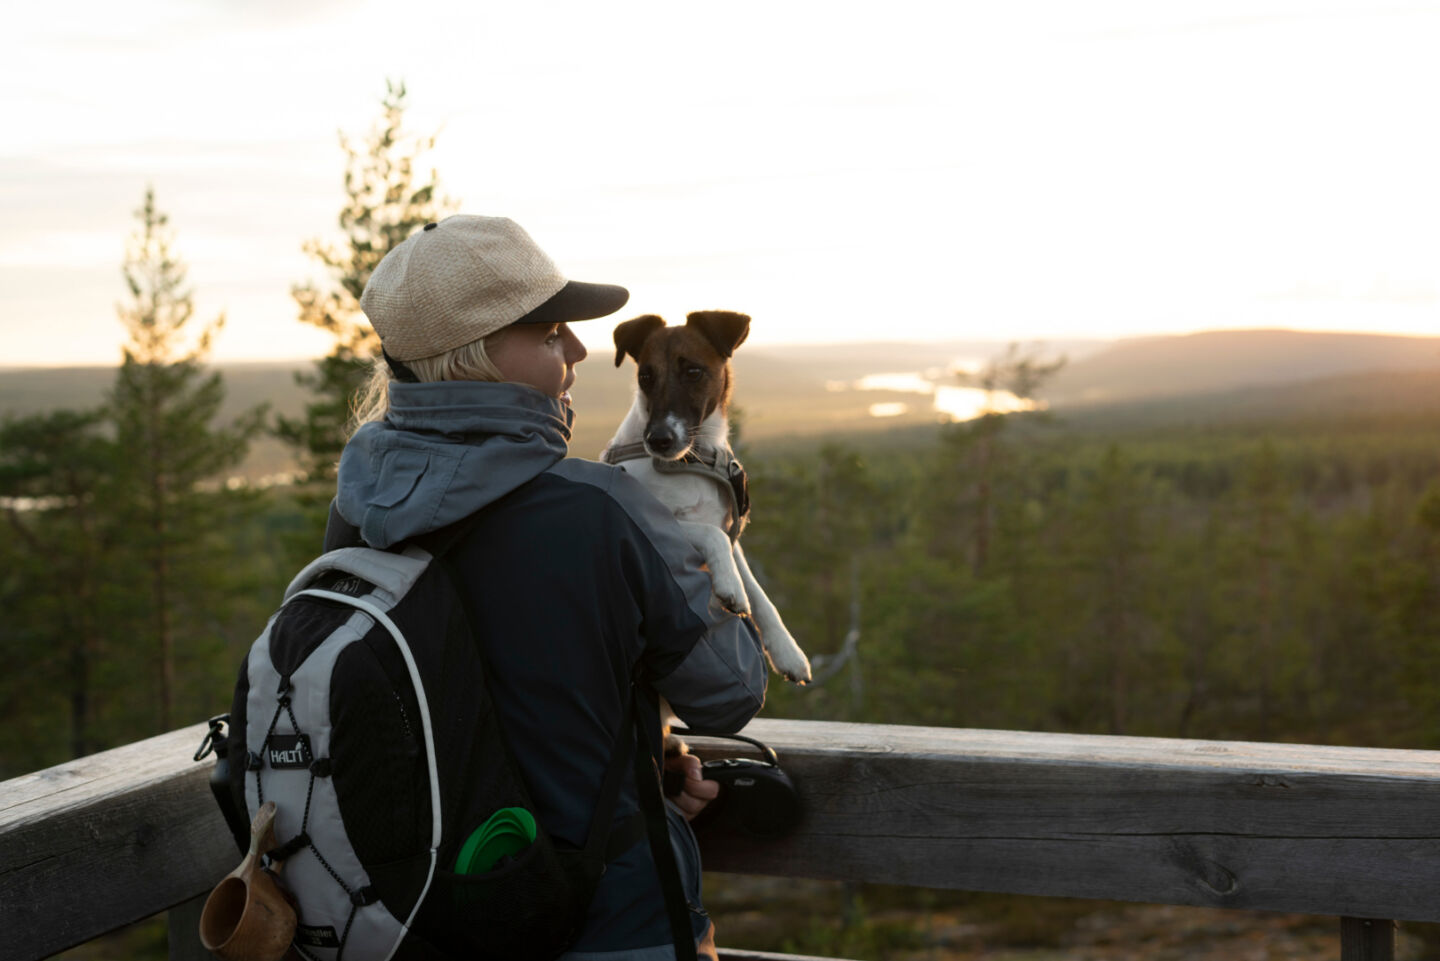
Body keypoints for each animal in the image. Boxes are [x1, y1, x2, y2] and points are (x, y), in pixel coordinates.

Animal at [601, 312, 817, 688]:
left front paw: (788, 652)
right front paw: (730, 586)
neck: (691, 460)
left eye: (693, 372)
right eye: (645, 376)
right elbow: (711, 536)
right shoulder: (657, 520)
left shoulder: (733, 536)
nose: (658, 439)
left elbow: (761, 596)